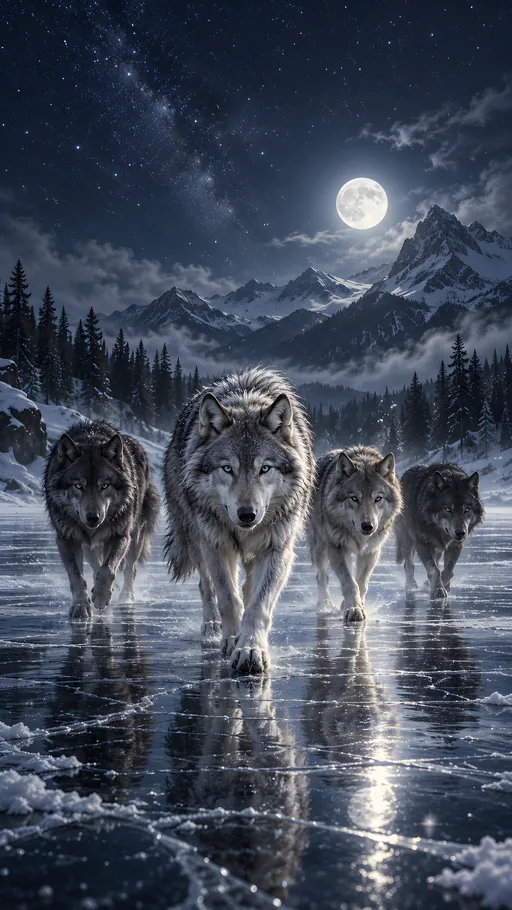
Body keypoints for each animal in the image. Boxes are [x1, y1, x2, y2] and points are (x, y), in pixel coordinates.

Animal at [44, 420, 159, 620]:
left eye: (104, 485)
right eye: (78, 485)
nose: (93, 518)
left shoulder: (120, 536)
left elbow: (108, 569)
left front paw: (101, 596)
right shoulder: (66, 539)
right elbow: (77, 576)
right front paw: (81, 606)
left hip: (135, 538)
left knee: (130, 569)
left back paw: (126, 596)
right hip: (90, 547)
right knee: (96, 565)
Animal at [163, 367, 314, 674]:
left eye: (264, 468)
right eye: (227, 469)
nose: (247, 514)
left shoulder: (278, 549)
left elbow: (258, 605)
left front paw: (251, 649)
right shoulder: (217, 545)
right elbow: (228, 598)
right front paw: (232, 641)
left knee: (247, 590)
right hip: (197, 539)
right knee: (207, 587)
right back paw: (211, 627)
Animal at [308, 446, 402, 622]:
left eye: (378, 498)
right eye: (354, 498)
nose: (367, 526)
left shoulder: (371, 552)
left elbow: (361, 582)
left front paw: (353, 605)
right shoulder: (337, 548)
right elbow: (350, 583)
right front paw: (353, 609)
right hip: (321, 548)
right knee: (321, 575)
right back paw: (324, 604)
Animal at [396, 462, 484, 599]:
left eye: (467, 509)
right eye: (447, 509)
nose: (460, 533)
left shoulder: (456, 545)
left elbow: (448, 570)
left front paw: (442, 585)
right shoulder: (423, 543)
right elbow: (434, 569)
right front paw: (438, 589)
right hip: (408, 540)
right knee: (408, 564)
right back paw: (411, 585)